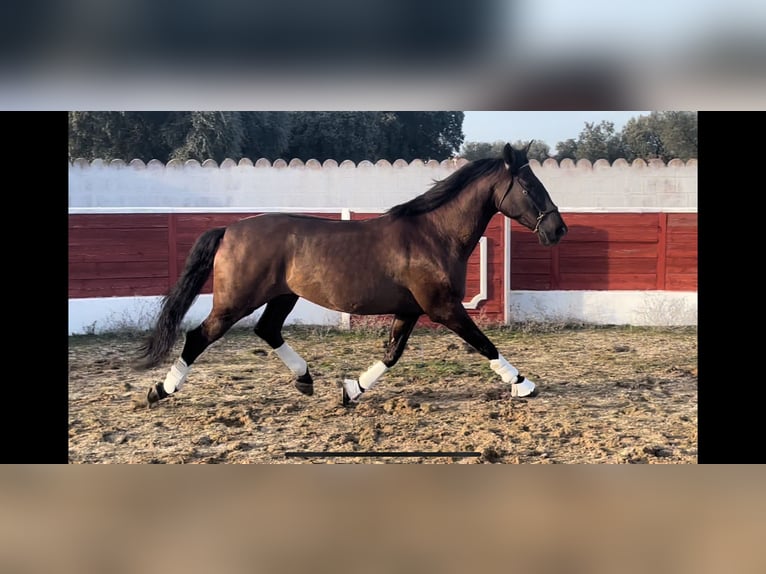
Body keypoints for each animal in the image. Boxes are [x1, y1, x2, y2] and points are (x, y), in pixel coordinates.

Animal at [135, 144, 568, 412]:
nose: (558, 229)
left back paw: (305, 379)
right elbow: (483, 344)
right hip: (235, 300)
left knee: (267, 329)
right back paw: (160, 390)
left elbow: (392, 354)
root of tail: (229, 229)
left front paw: (350, 391)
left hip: (283, 295)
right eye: (528, 186)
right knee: (199, 336)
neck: (433, 234)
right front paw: (523, 384)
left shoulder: (410, 310)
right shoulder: (443, 307)